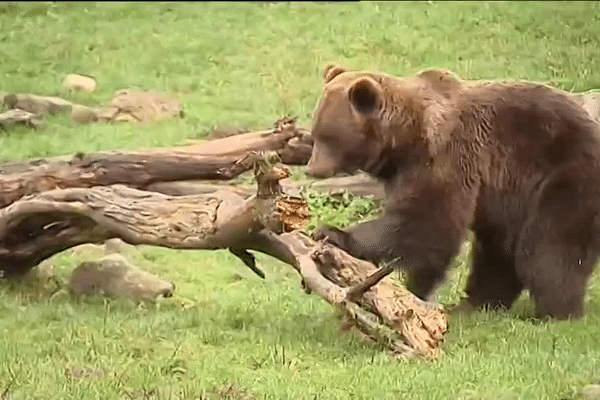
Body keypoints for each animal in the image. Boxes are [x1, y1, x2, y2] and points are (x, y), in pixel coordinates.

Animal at [308, 63, 600, 318]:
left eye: (328, 136)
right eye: (315, 132)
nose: (312, 169)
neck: (404, 141)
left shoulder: (446, 157)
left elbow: (427, 224)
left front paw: (333, 233)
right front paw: (416, 292)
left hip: (566, 173)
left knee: (547, 248)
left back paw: (556, 312)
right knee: (498, 252)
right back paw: (476, 305)